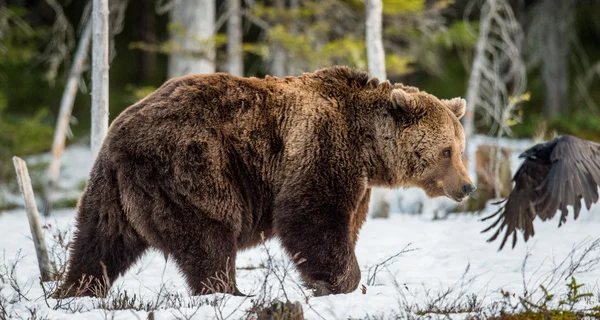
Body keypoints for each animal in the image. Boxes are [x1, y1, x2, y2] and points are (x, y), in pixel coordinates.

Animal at [54, 65, 476, 298]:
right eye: (446, 151)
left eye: (460, 147)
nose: (468, 186)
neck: (367, 148)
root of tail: (119, 131)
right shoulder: (321, 151)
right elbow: (311, 219)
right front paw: (342, 282)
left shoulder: (358, 181)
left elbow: (346, 223)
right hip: (191, 166)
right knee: (208, 237)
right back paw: (231, 292)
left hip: (110, 188)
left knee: (99, 241)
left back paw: (75, 291)